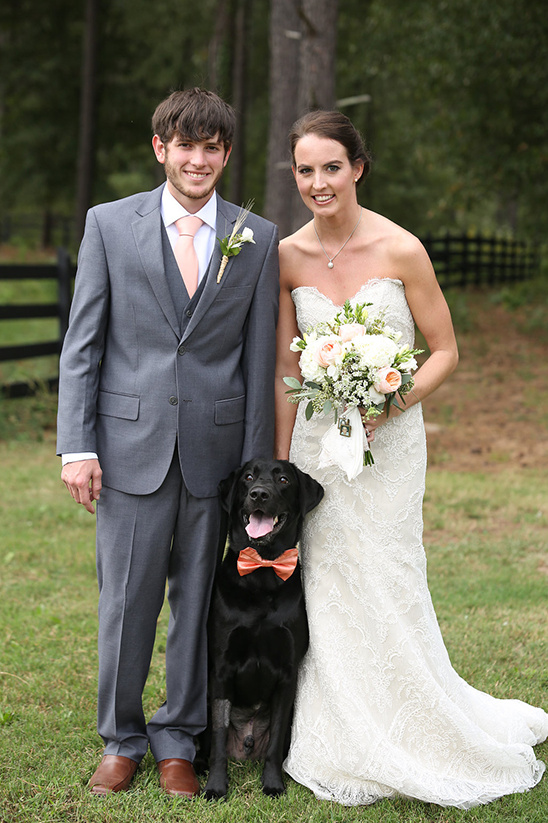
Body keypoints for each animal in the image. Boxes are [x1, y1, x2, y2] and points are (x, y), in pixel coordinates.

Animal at [201, 458, 322, 800]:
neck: (263, 572)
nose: (258, 494)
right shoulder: (221, 669)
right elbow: (218, 740)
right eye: (248, 477)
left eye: (283, 480)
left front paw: (273, 784)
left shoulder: (287, 673)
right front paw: (215, 788)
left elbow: (276, 742)